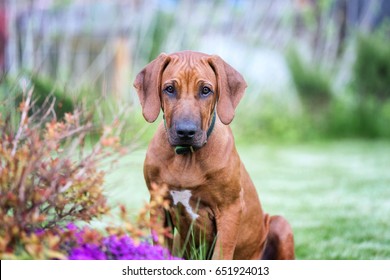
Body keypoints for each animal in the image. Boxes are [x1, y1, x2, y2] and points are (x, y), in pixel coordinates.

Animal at [133, 50, 292, 260]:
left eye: (206, 90)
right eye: (169, 89)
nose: (186, 132)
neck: (187, 157)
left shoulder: (230, 209)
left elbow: (221, 255)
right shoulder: (158, 205)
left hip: (281, 224)